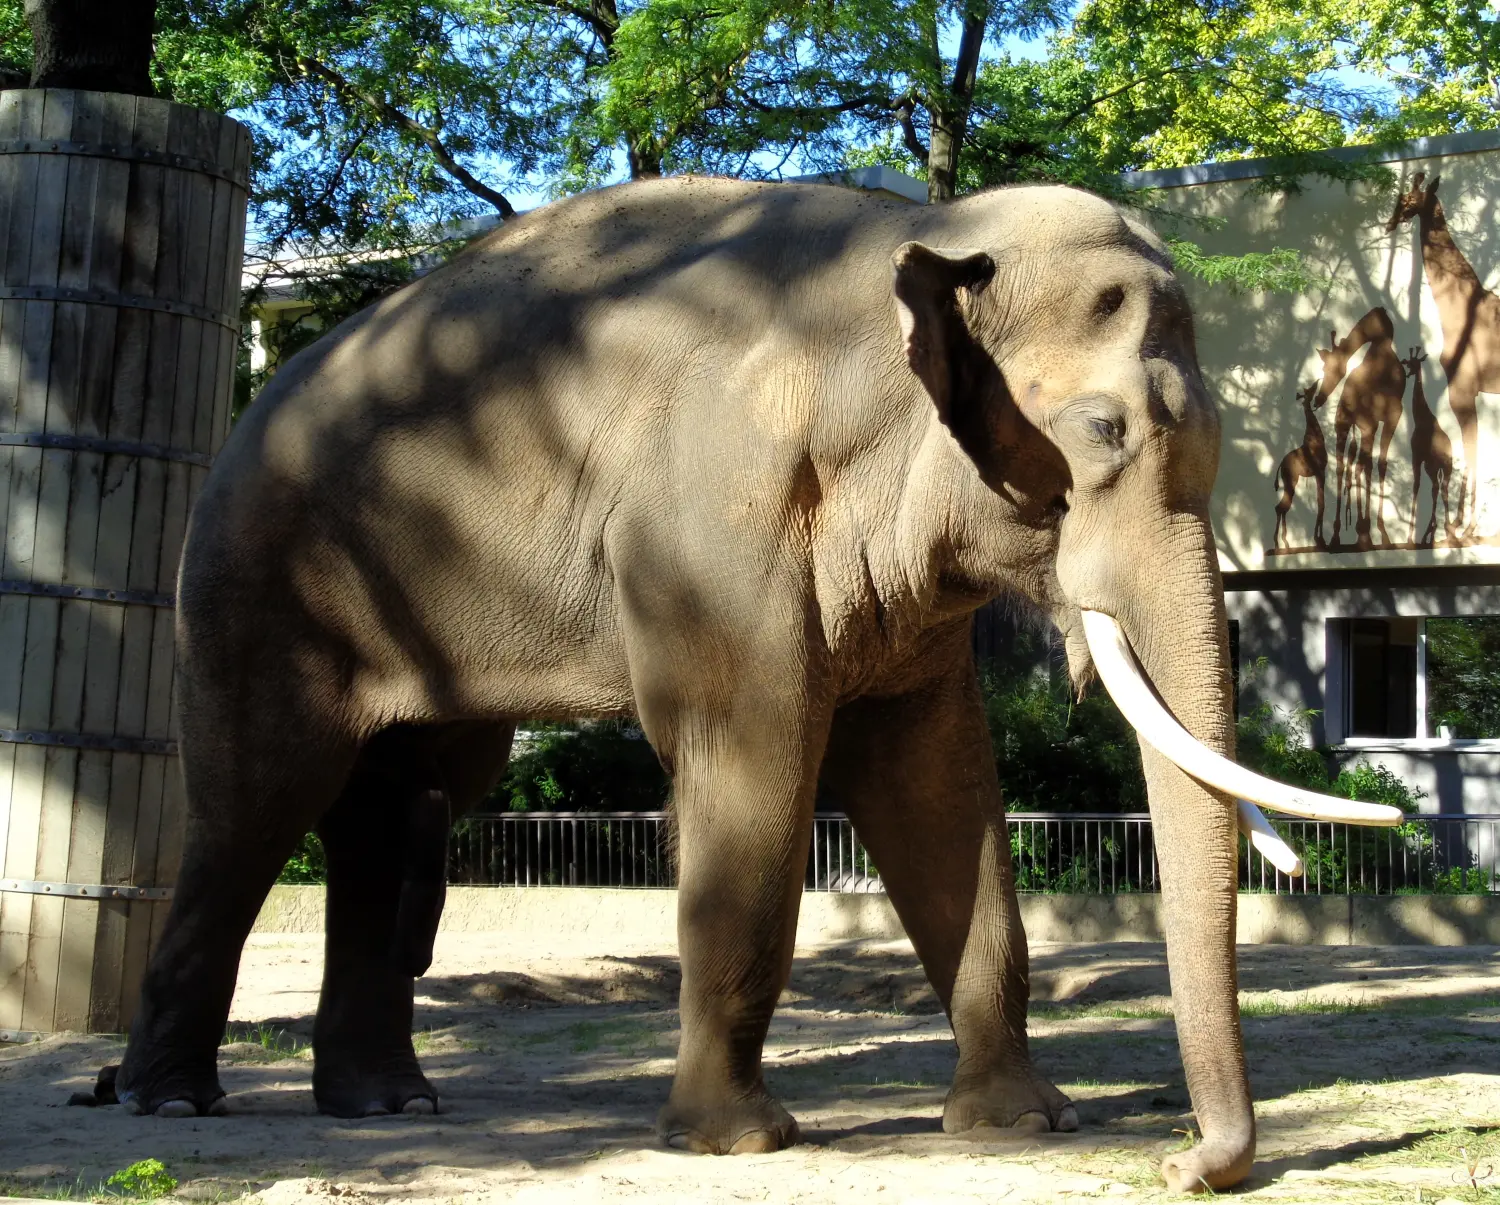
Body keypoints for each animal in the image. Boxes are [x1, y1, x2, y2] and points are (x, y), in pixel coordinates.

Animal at [105, 174, 1386, 1194]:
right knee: (256, 807)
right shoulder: (714, 527)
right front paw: (738, 1140)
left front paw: (1020, 1122)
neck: (914, 242)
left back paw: (387, 1104)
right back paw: (168, 1098)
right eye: (1103, 430)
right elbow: (756, 764)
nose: (1189, 1161)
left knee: (396, 802)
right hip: (255, 589)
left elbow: (934, 785)